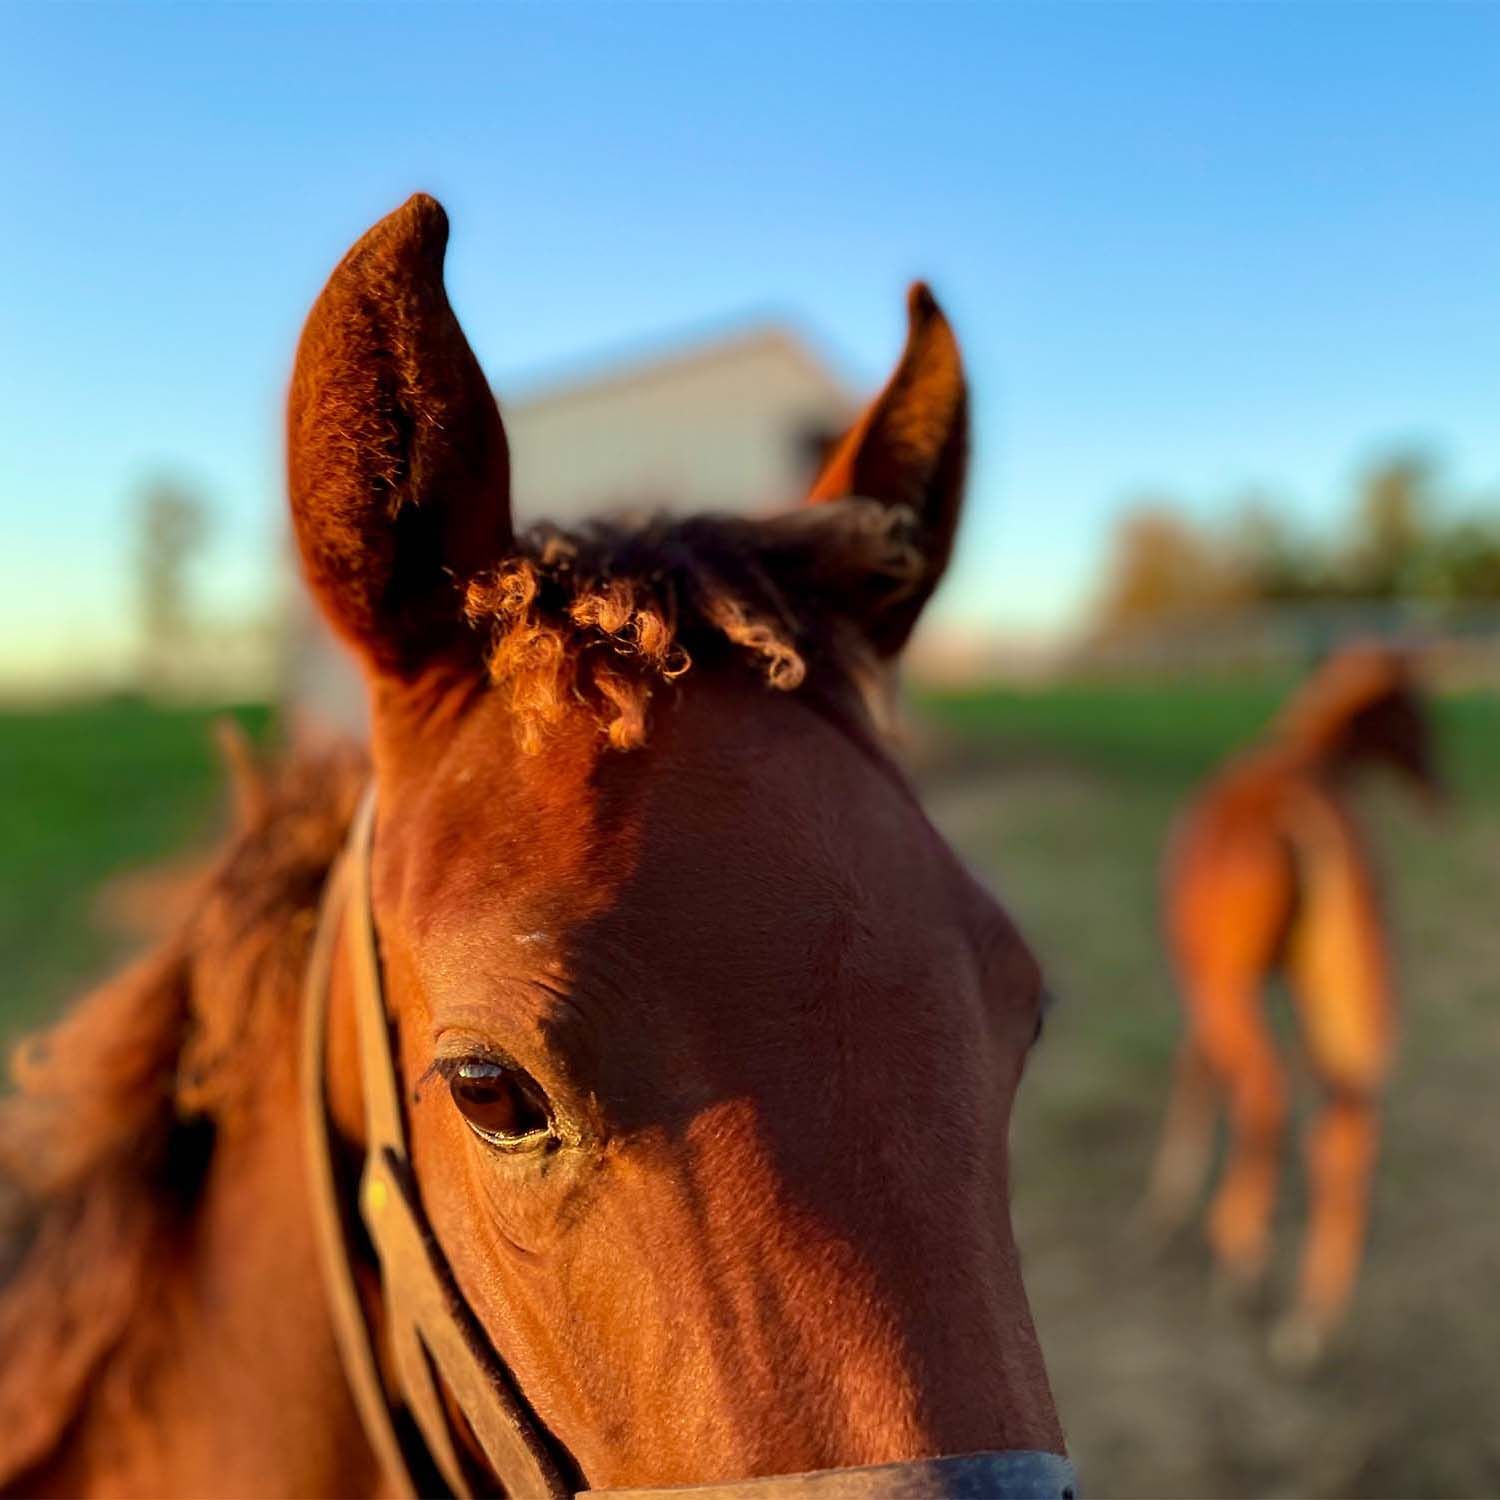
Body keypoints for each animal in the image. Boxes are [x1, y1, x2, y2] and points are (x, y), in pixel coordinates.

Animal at [1146, 639, 1440, 1368]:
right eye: (1418, 715)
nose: (1440, 794)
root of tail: (1296, 807)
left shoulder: (1207, 985)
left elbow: (1195, 1072)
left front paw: (1168, 1210)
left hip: (1231, 994)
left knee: (1265, 1092)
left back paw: (1242, 1259)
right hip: (1334, 1005)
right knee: (1345, 1132)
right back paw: (1311, 1324)